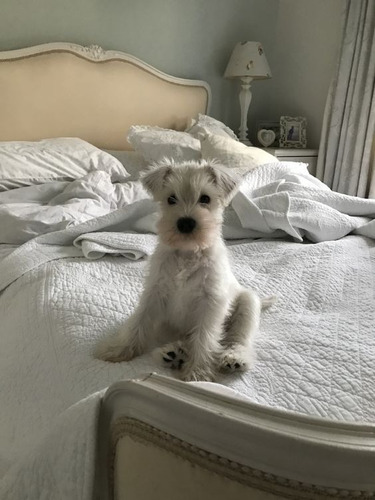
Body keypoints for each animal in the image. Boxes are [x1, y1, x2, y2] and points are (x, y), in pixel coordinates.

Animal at [95, 158, 274, 380]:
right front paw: (117, 349)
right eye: (171, 198)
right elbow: (138, 322)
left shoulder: (210, 302)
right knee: (182, 339)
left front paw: (198, 372)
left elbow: (204, 337)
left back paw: (234, 357)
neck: (188, 253)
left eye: (205, 198)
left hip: (247, 304)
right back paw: (173, 353)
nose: (186, 223)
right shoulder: (154, 293)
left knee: (238, 338)